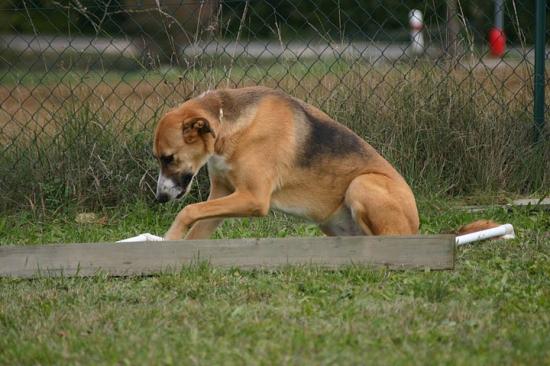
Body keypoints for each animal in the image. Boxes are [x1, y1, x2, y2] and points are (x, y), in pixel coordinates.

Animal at [153, 86, 420, 240]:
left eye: (169, 158)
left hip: (361, 184)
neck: (228, 126)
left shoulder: (253, 198)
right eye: (159, 159)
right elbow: (197, 224)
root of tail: (415, 227)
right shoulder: (223, 193)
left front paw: (170, 236)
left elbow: (188, 210)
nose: (160, 198)